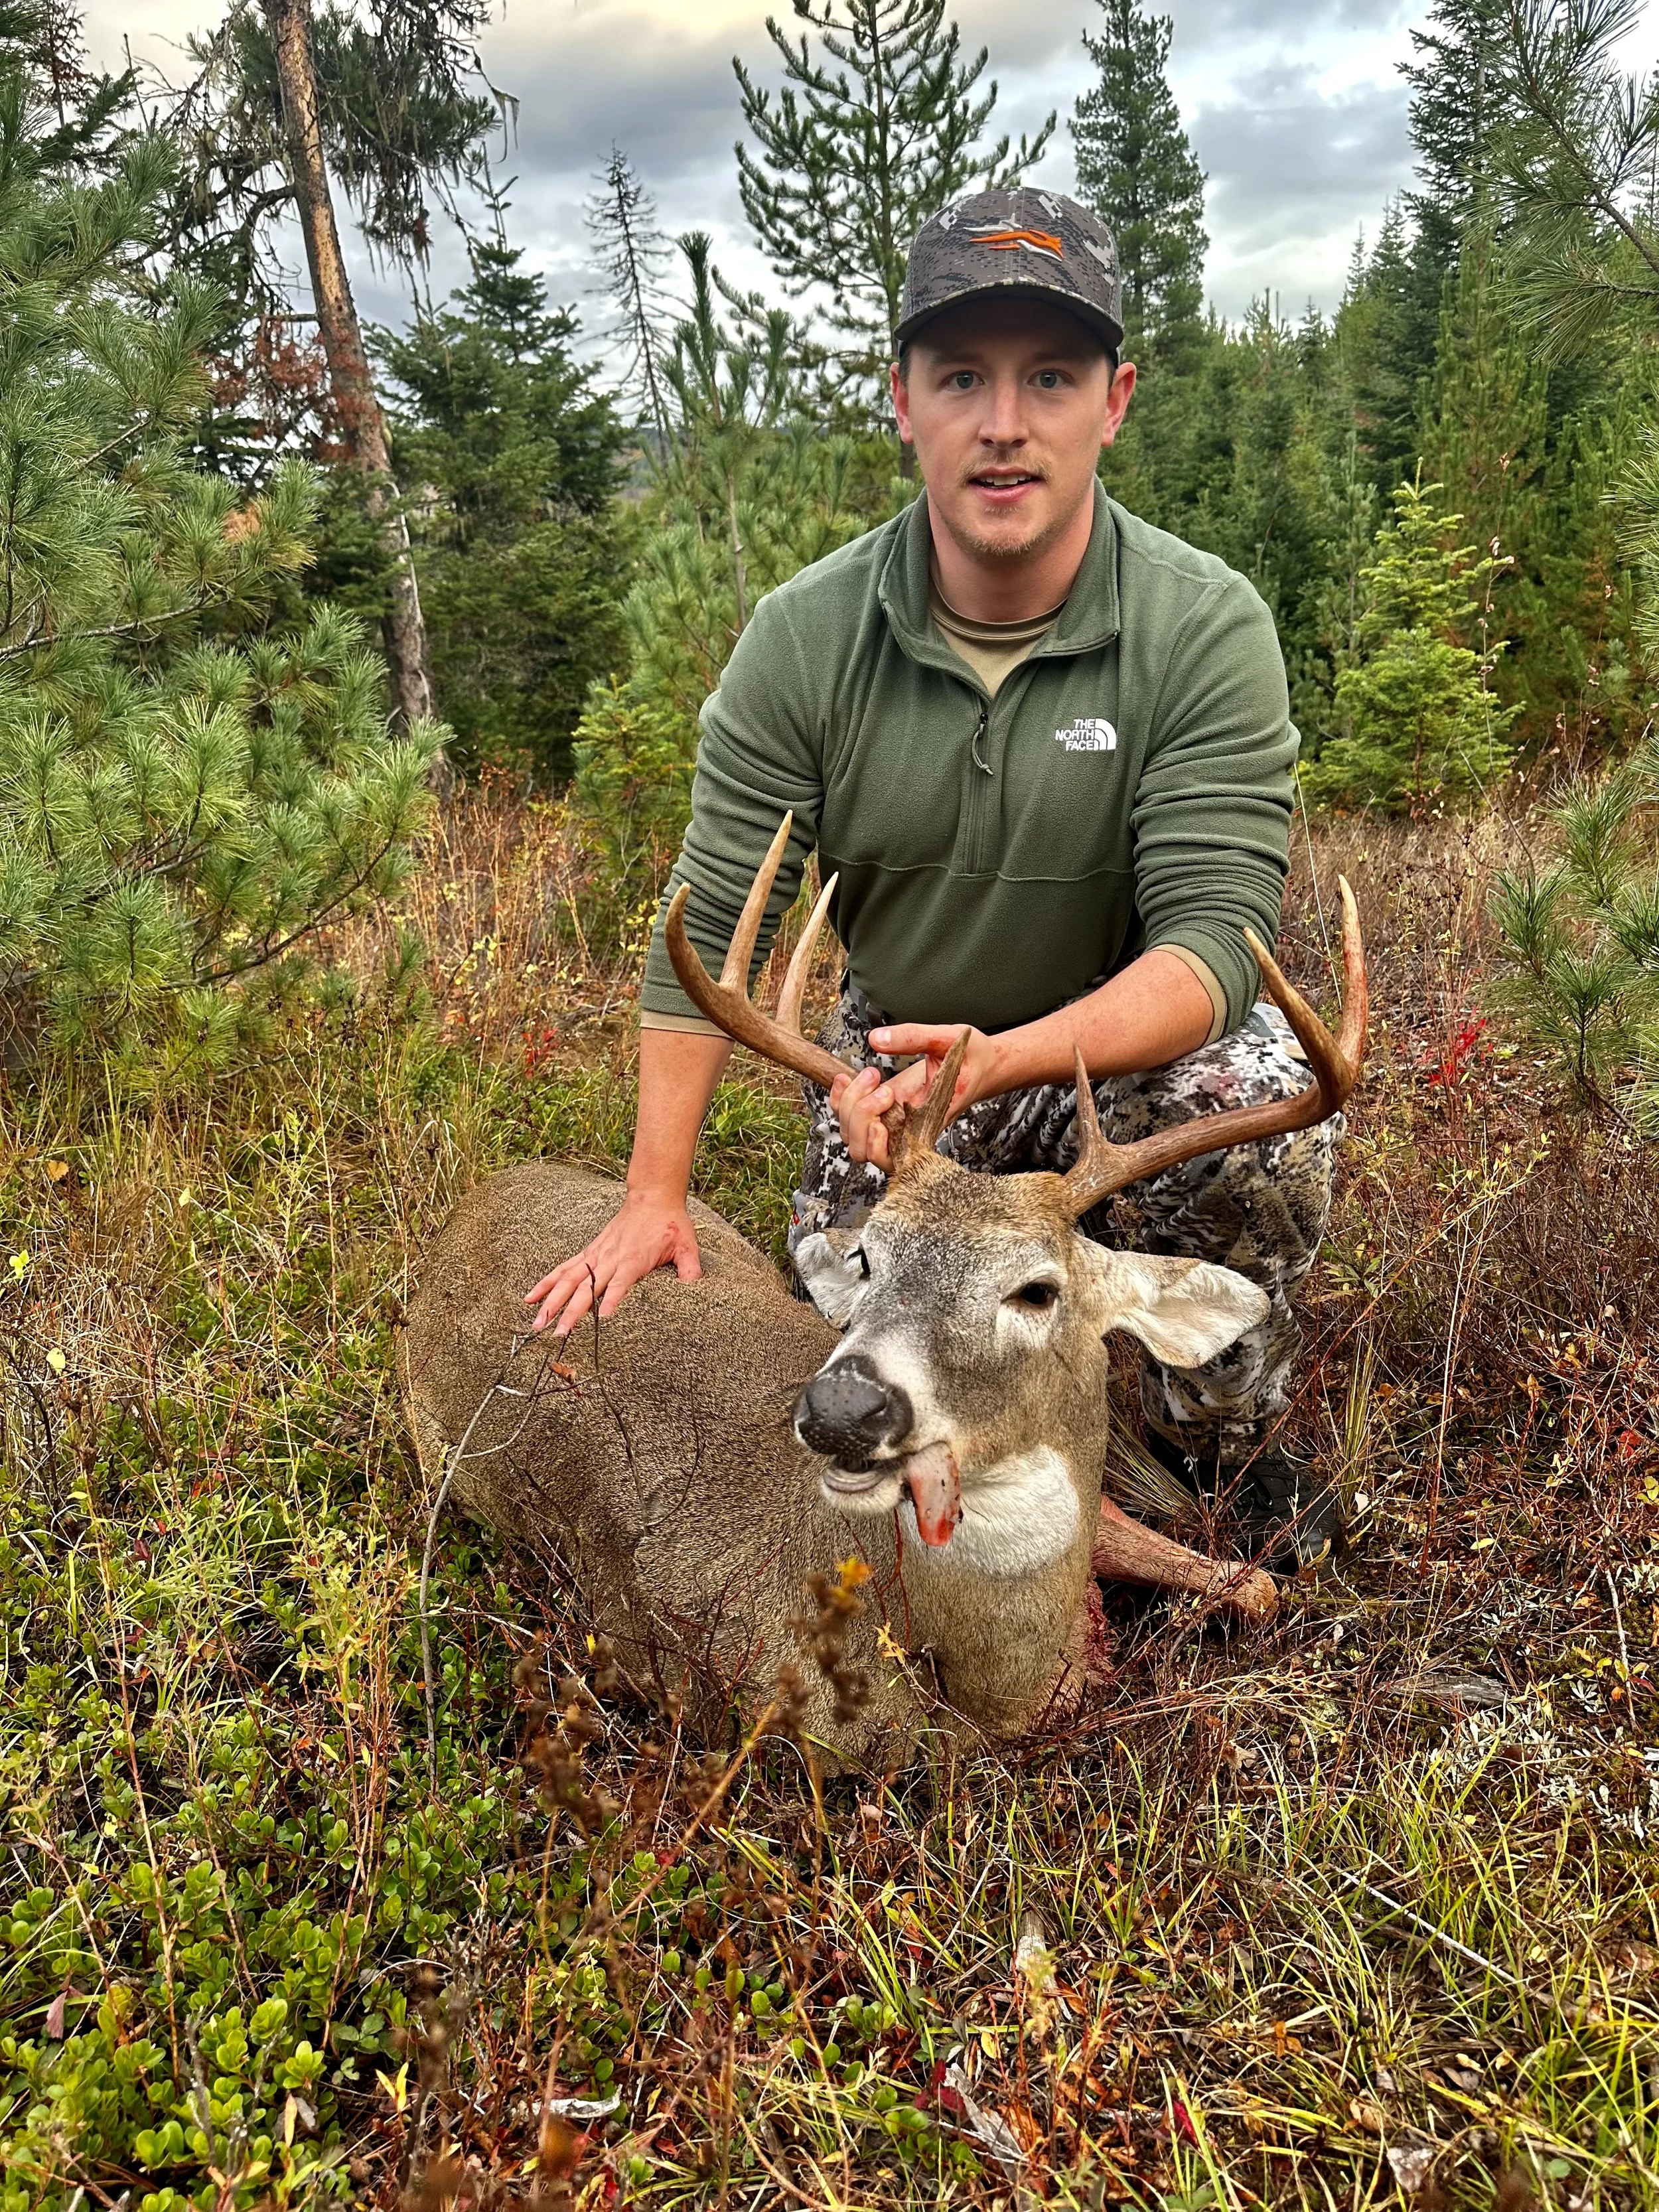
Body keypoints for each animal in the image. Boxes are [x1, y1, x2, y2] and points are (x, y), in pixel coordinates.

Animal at [404, 820, 1367, 1772]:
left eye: (1037, 1290)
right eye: (868, 1255)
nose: (841, 1409)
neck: (1007, 1680)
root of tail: (473, 1202)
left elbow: (1261, 1588)